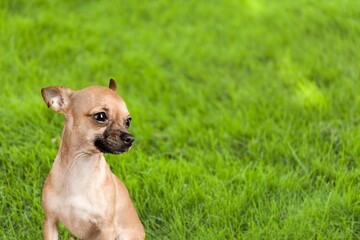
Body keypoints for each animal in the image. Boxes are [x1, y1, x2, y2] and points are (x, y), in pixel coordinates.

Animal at [40, 79, 145, 239]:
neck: (81, 167)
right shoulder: (50, 221)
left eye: (128, 121)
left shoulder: (107, 229)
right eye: (101, 116)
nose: (130, 139)